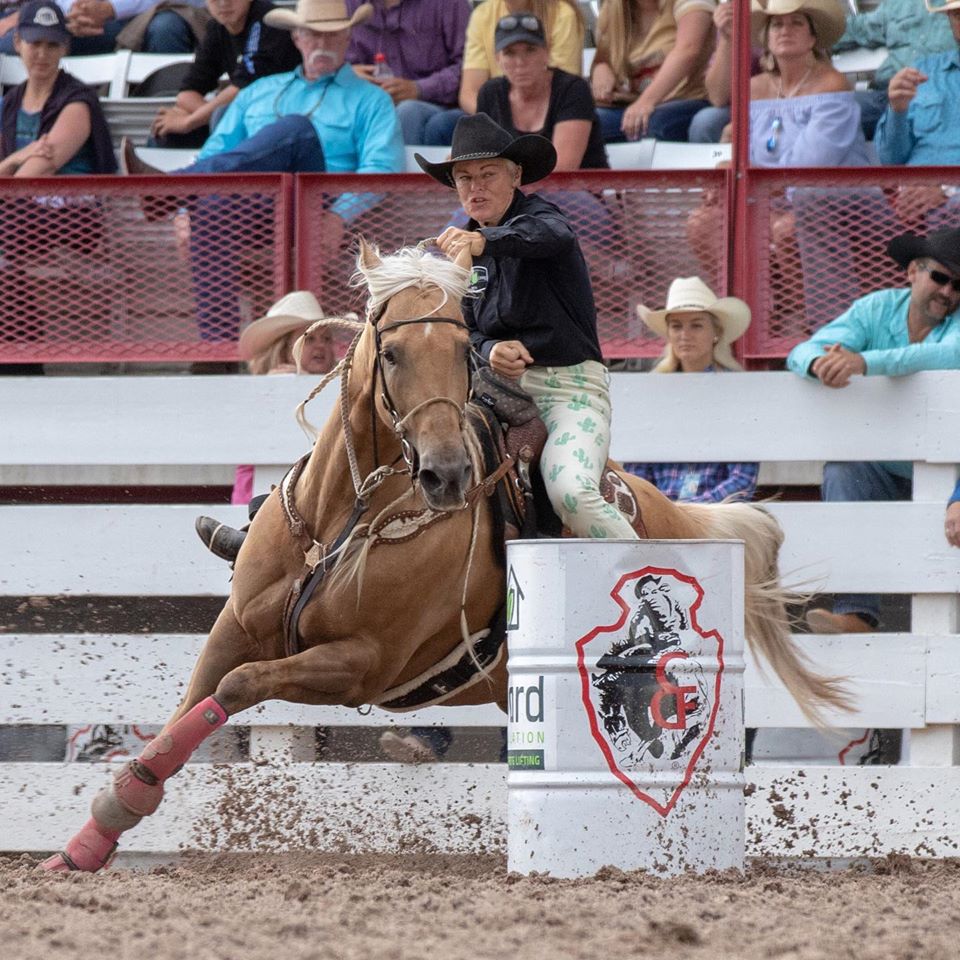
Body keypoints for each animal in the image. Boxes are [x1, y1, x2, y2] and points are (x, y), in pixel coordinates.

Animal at [41, 238, 844, 872]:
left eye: (463, 352)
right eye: (392, 353)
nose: (449, 474)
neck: (345, 520)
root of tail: (668, 510)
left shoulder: (361, 664)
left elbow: (234, 689)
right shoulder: (236, 627)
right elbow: (189, 709)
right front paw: (94, 835)